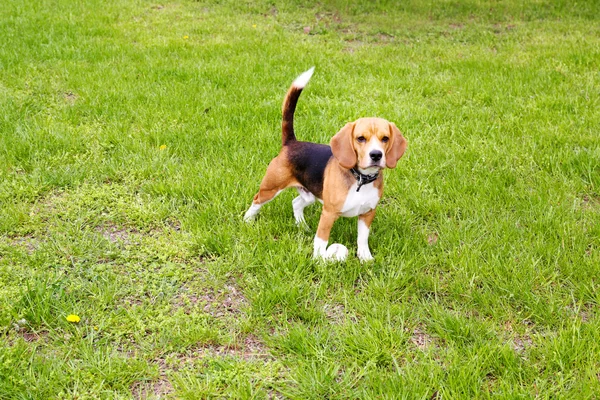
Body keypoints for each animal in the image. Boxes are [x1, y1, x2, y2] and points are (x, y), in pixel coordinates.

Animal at [244, 68, 408, 262]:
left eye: (385, 139)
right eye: (360, 138)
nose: (376, 154)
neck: (360, 179)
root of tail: (291, 143)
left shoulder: (368, 213)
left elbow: (362, 238)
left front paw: (365, 258)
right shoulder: (328, 214)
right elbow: (321, 240)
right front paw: (319, 261)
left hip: (309, 194)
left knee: (296, 203)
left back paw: (302, 226)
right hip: (271, 187)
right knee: (257, 201)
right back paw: (247, 221)